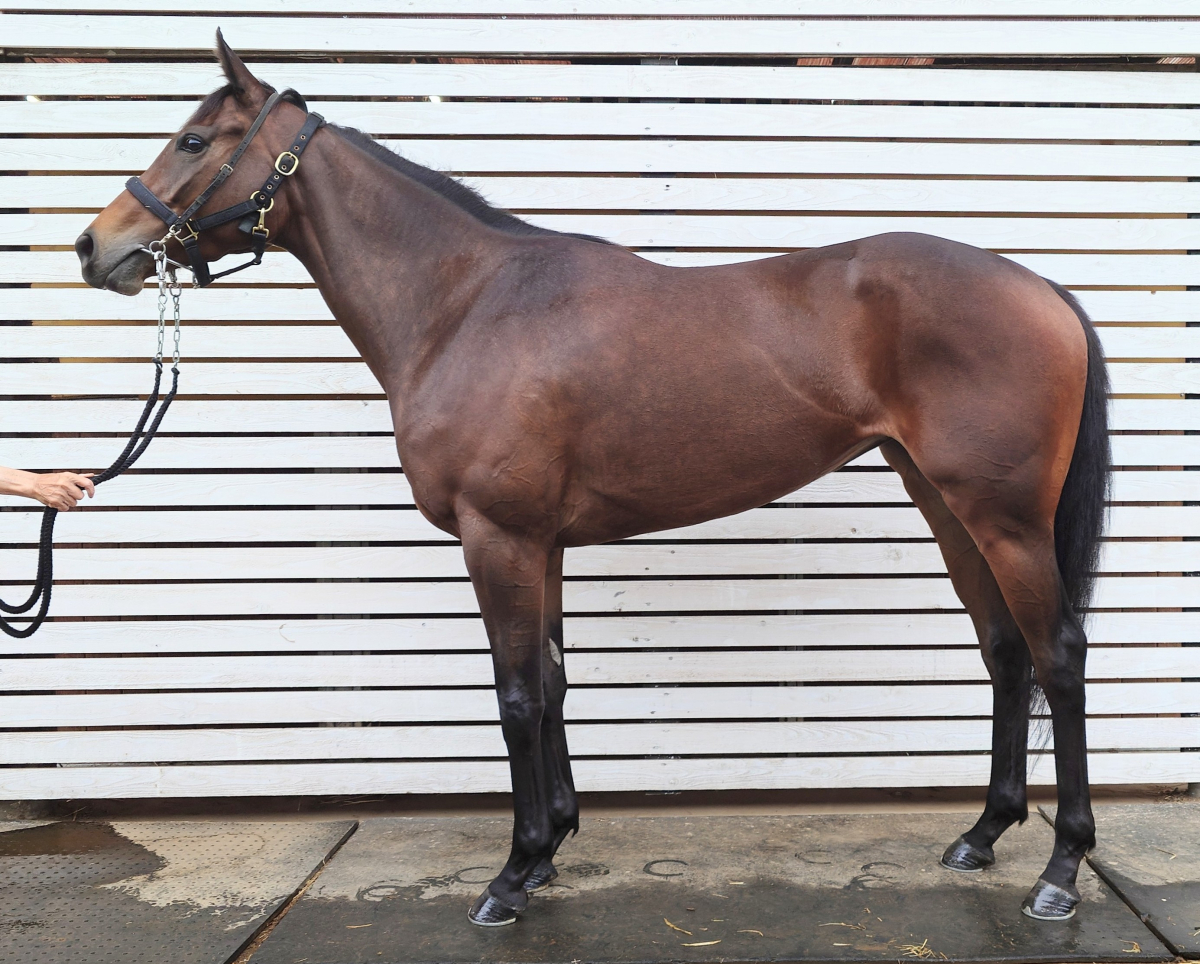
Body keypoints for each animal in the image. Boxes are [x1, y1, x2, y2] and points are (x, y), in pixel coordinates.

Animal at [76, 34, 1109, 927]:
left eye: (193, 139)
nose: (95, 245)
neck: (465, 304)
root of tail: (1040, 288)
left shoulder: (498, 537)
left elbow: (516, 696)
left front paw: (511, 874)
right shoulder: (543, 543)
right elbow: (556, 683)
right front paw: (550, 850)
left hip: (1003, 517)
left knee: (1057, 653)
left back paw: (1060, 873)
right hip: (946, 504)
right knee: (1006, 652)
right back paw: (982, 835)